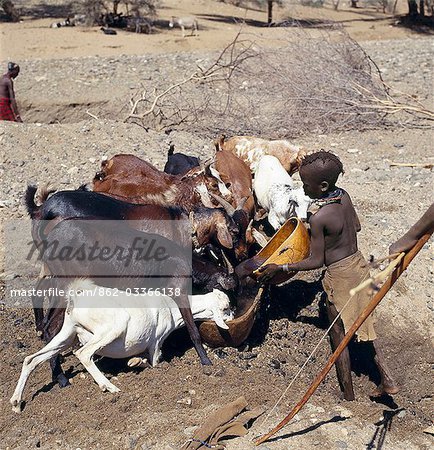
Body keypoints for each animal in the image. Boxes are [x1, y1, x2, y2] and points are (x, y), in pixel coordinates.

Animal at [10, 280, 232, 414]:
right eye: (225, 308)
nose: (232, 315)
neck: (171, 306)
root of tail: (76, 298)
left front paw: (134, 361)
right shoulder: (156, 343)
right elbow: (153, 363)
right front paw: (137, 363)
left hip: (67, 334)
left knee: (31, 359)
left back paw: (16, 403)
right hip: (111, 327)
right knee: (83, 353)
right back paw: (109, 386)